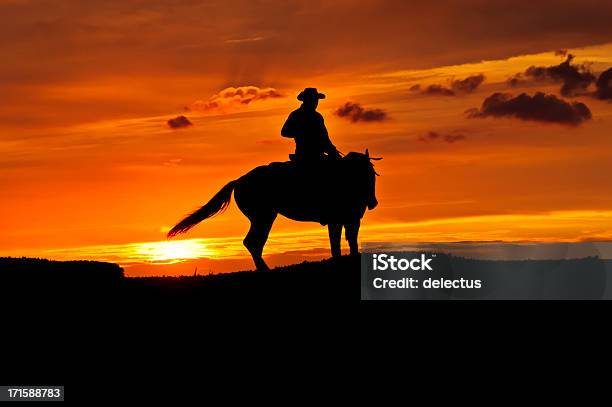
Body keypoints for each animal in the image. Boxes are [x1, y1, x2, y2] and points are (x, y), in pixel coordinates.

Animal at [167, 150, 378, 270]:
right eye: (367, 174)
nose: (373, 202)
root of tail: (240, 180)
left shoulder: (346, 218)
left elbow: (346, 240)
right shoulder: (340, 219)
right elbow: (340, 241)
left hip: (263, 218)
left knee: (254, 243)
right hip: (263, 217)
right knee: (252, 242)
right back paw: (264, 270)